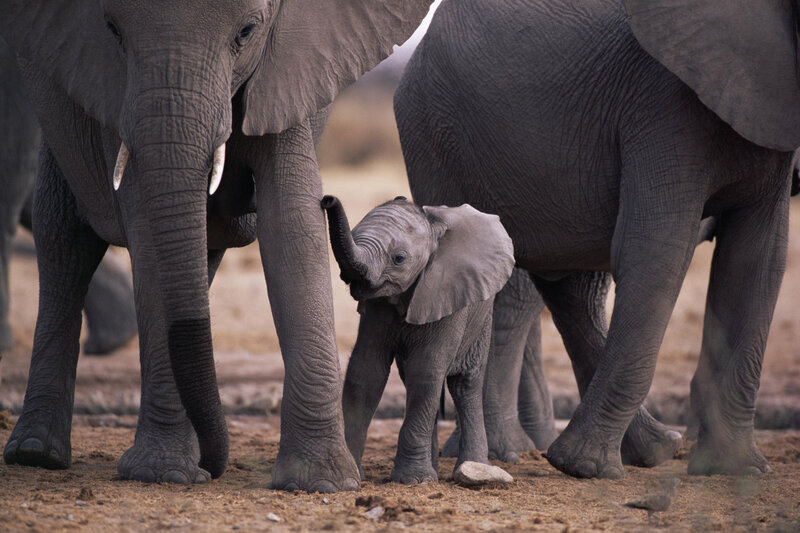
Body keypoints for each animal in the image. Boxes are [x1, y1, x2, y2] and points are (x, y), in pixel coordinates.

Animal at [321, 195, 514, 485]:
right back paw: (433, 469)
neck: (432, 226)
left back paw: (472, 467)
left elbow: (426, 371)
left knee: (464, 384)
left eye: (399, 258)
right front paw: (354, 473)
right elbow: (365, 373)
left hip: (482, 316)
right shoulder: (377, 307)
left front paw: (413, 480)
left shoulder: (447, 293)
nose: (327, 199)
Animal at [395, 0, 796, 479]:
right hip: (434, 133)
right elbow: (655, 253)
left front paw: (733, 471)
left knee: (569, 287)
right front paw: (582, 467)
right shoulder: (663, 104)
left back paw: (654, 449)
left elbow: (757, 262)